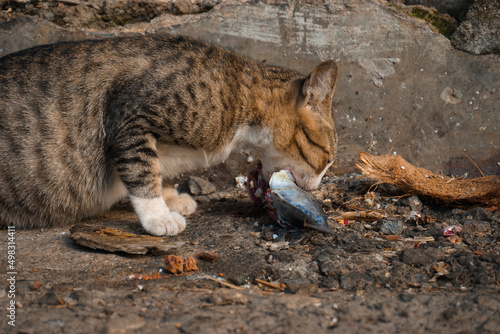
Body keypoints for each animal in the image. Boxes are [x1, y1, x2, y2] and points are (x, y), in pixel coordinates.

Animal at [0, 34, 338, 235]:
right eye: (327, 160)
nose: (316, 187)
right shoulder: (129, 116)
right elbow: (141, 170)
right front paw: (157, 215)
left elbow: (156, 168)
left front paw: (170, 197)